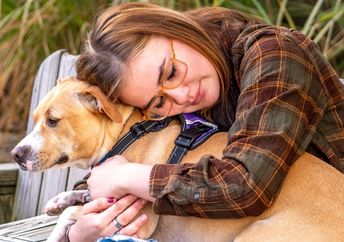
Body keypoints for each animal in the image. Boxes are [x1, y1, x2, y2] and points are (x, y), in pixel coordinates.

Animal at [10, 77, 344, 242]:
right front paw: (61, 199)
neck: (124, 131)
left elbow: (73, 215)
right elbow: (80, 197)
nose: (16, 154)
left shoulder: (138, 219)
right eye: (36, 118)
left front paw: (57, 231)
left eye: (53, 121)